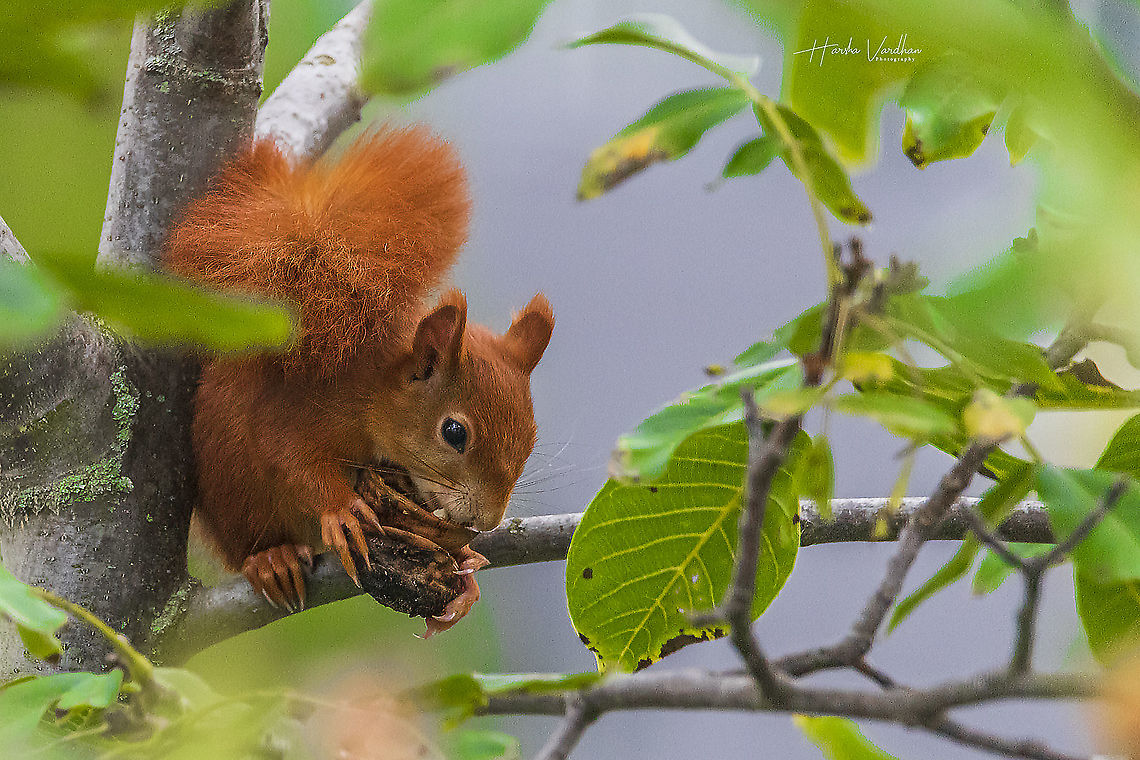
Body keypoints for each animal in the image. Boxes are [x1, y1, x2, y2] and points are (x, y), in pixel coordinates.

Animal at [165, 126, 554, 636]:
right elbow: (290, 457)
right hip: (232, 485)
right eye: (454, 433)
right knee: (249, 537)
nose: (487, 521)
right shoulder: (298, 408)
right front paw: (341, 508)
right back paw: (272, 559)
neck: (373, 385)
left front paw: (466, 567)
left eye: (531, 437)